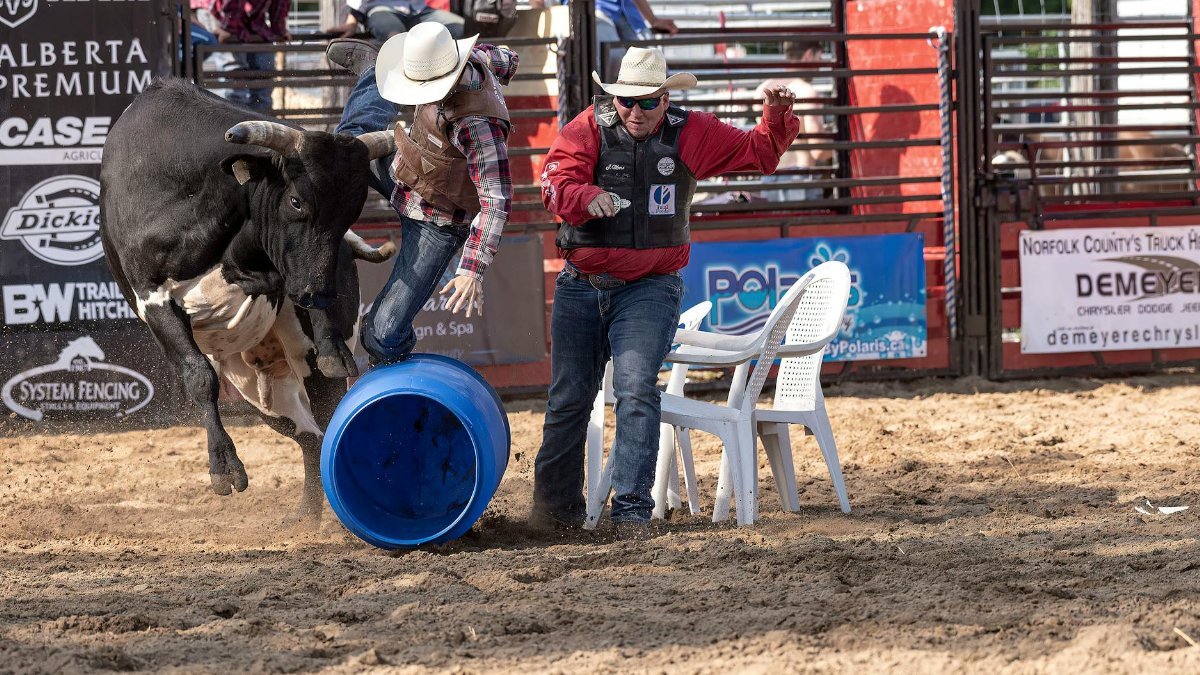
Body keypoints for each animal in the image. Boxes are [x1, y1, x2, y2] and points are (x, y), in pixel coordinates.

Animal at [99, 78, 395, 524]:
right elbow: (199, 377)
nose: (323, 293)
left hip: (296, 362)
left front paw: (330, 342)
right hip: (256, 393)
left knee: (323, 420)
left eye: (352, 211)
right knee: (309, 435)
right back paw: (307, 518)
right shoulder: (152, 297)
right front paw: (224, 467)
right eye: (295, 201)